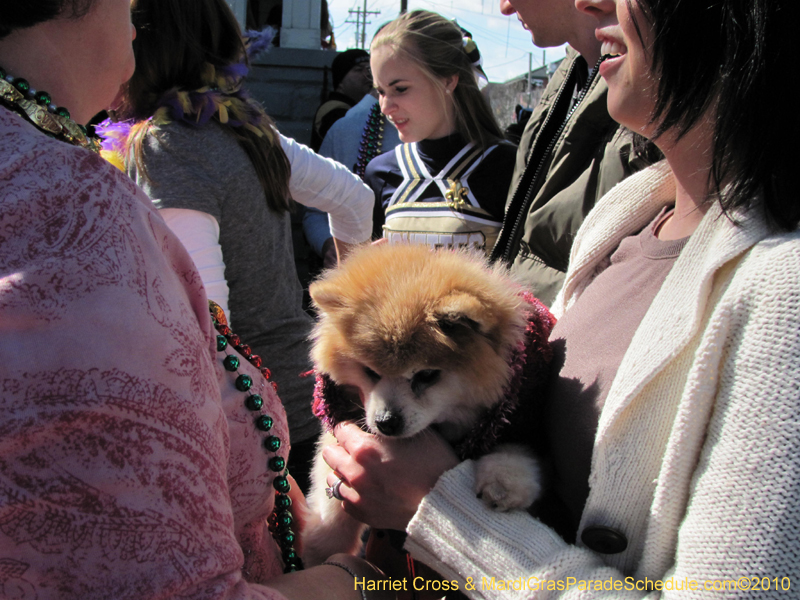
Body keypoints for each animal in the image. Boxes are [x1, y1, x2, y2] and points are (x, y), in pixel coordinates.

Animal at [300, 241, 556, 564]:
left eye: (426, 375)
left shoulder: (522, 412)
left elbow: (519, 451)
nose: (386, 422)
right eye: (370, 372)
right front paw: (321, 546)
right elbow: (331, 505)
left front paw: (503, 482)